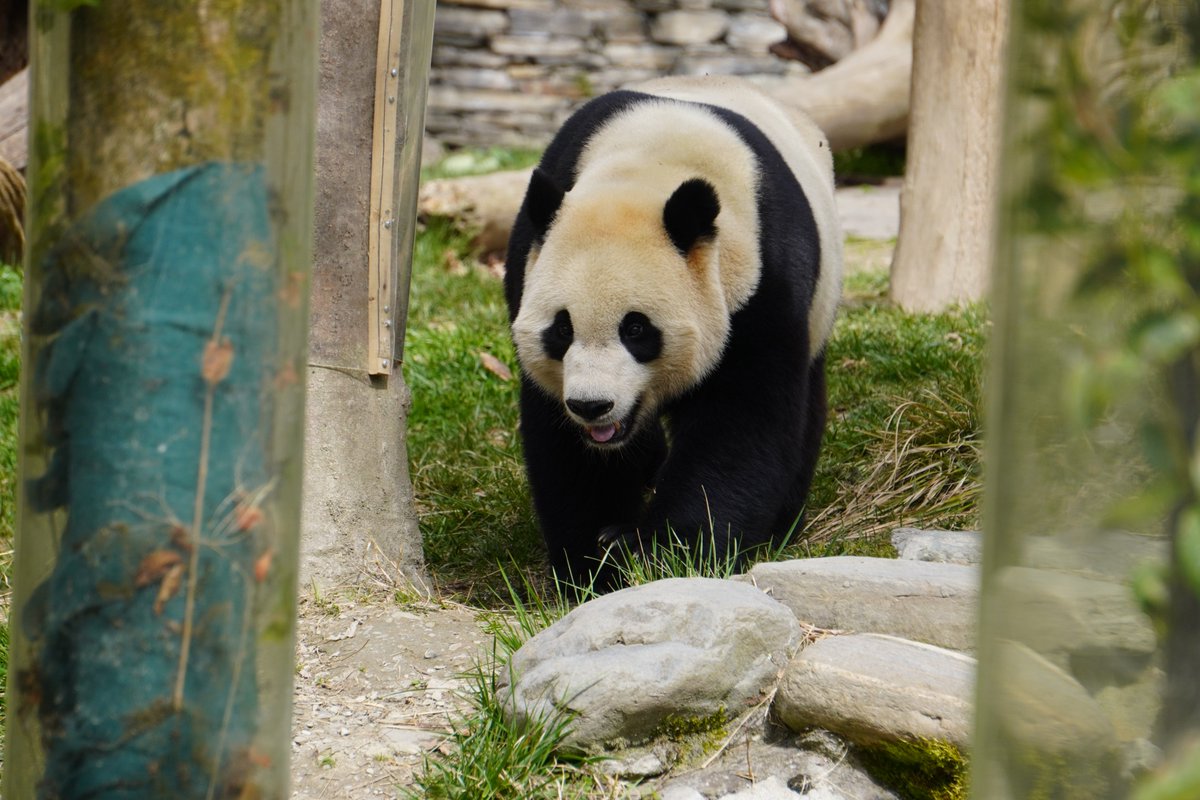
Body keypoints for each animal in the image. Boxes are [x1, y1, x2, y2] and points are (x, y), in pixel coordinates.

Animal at [504, 75, 843, 589]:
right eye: (562, 328)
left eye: (636, 328)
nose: (591, 406)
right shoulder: (532, 254)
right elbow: (565, 446)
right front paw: (596, 561)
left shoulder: (764, 284)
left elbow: (740, 422)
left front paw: (670, 556)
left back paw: (783, 524)